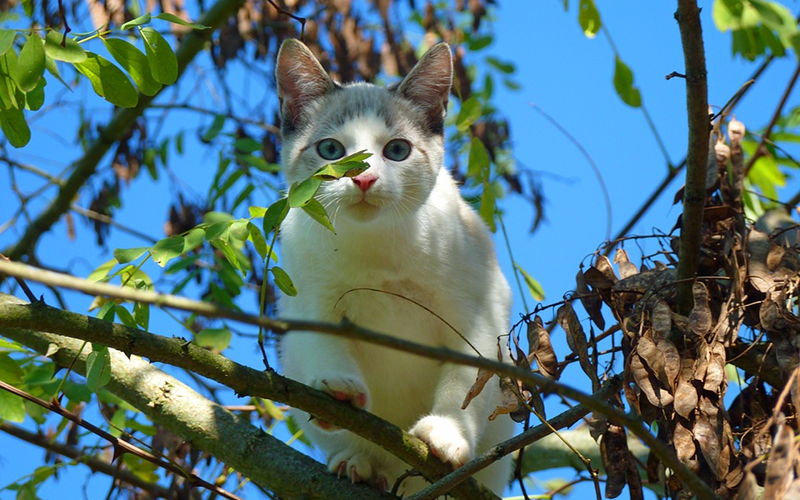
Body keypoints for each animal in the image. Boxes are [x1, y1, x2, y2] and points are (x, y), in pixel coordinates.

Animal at [276, 40, 512, 496]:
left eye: (397, 150)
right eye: (331, 150)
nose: (364, 179)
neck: (377, 250)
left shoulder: (477, 314)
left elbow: (464, 385)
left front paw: (447, 433)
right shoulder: (309, 303)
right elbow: (323, 345)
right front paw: (337, 391)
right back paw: (359, 461)